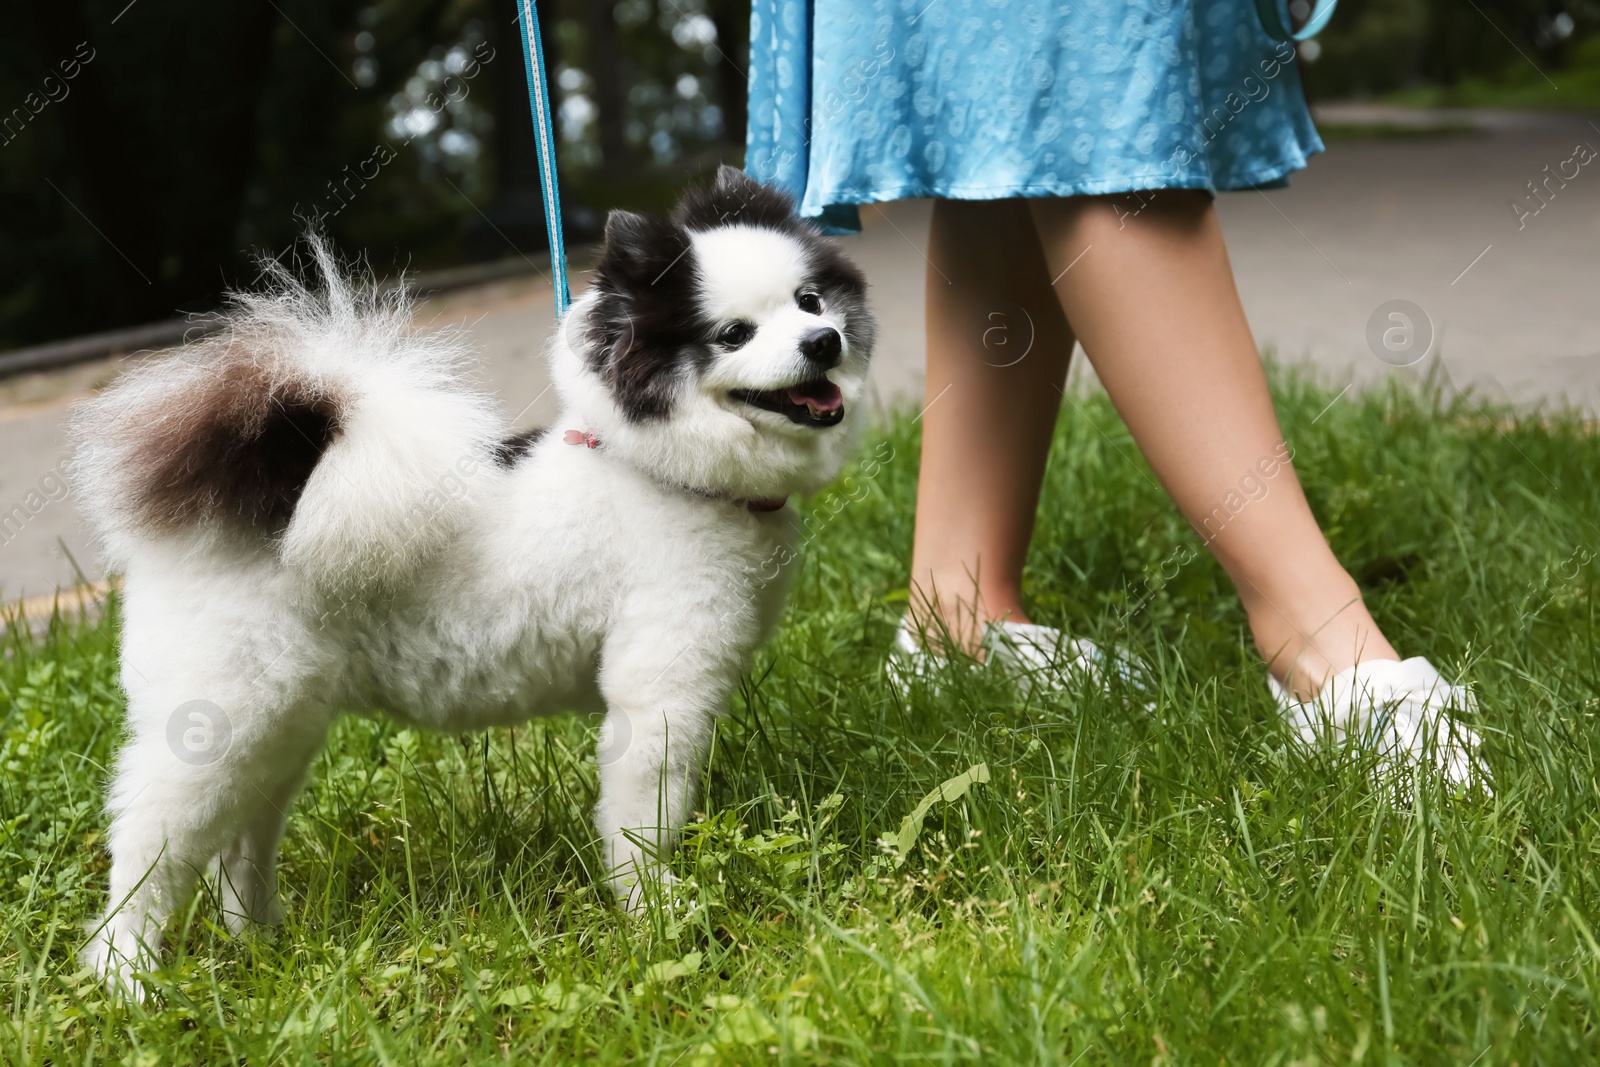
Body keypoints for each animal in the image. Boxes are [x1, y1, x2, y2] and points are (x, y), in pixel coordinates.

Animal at [72, 167, 876, 991]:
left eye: (810, 300)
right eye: (734, 334)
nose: (822, 341)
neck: (660, 474)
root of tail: (266, 496)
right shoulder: (659, 695)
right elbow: (643, 818)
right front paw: (656, 911)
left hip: (278, 725)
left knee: (242, 840)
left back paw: (263, 941)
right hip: (218, 726)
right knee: (147, 849)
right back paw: (125, 976)